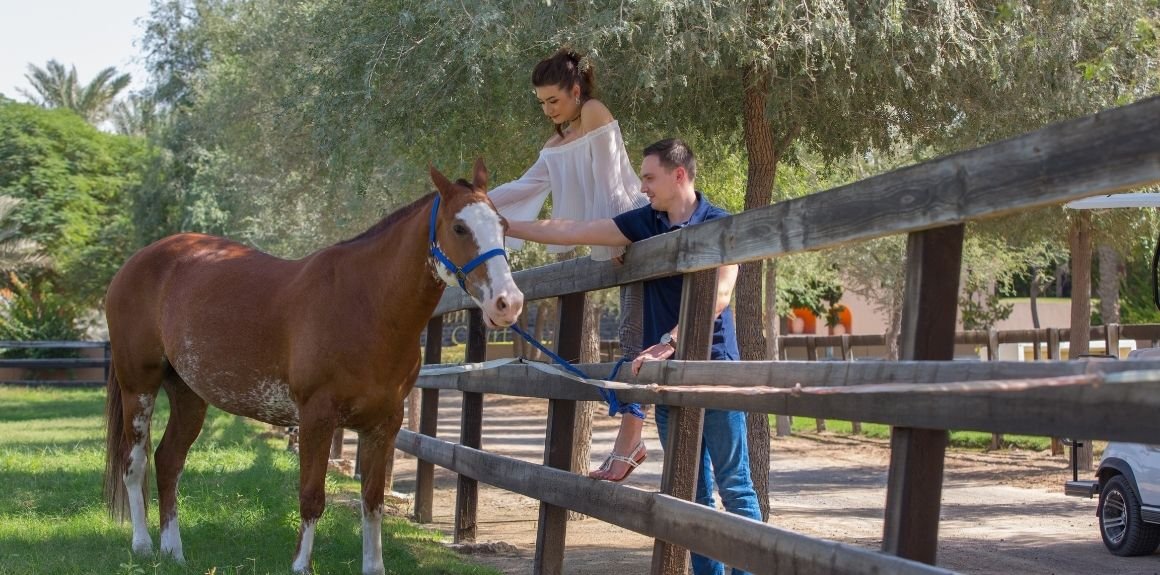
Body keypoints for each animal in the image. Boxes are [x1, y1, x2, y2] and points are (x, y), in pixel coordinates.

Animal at [104, 161, 522, 575]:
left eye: (503, 225)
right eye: (459, 227)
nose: (508, 303)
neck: (366, 305)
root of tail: (135, 263)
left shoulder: (384, 424)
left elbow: (373, 502)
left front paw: (373, 566)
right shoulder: (316, 418)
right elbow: (311, 497)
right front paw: (301, 566)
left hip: (189, 394)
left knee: (168, 461)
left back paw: (173, 551)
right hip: (139, 386)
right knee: (134, 462)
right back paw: (142, 545)